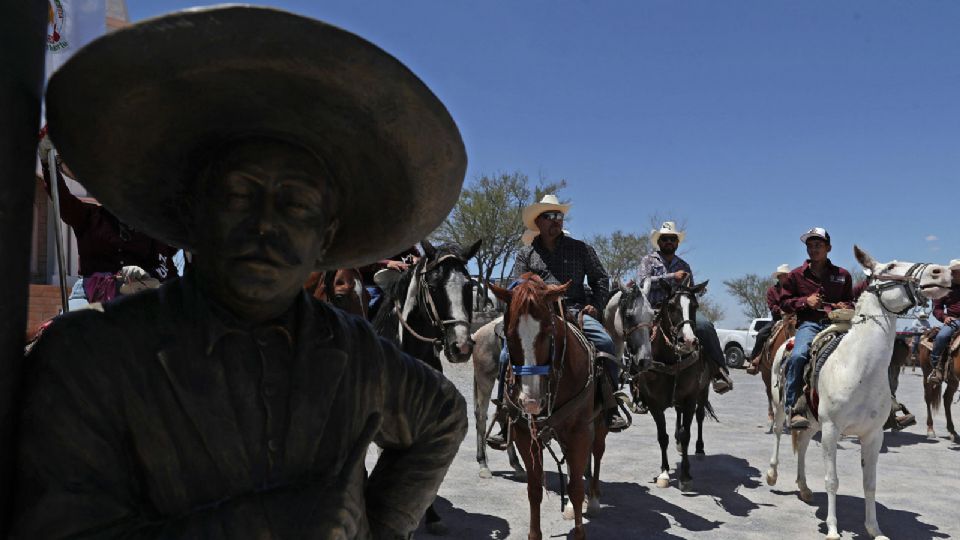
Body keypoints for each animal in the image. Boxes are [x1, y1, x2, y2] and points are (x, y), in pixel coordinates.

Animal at [492, 274, 604, 540]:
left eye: (547, 332)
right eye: (508, 335)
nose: (530, 401)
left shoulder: (579, 432)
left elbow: (575, 488)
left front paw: (579, 531)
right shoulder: (526, 434)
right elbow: (534, 488)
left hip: (599, 424)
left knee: (597, 453)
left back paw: (593, 500)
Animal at [764, 247, 952, 536]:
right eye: (891, 266)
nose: (940, 272)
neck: (858, 369)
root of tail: (787, 341)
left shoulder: (873, 435)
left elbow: (870, 484)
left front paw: (875, 530)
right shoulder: (832, 430)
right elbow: (832, 481)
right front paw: (833, 530)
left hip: (812, 421)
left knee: (803, 442)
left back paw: (804, 488)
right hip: (781, 406)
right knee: (777, 432)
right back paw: (773, 474)